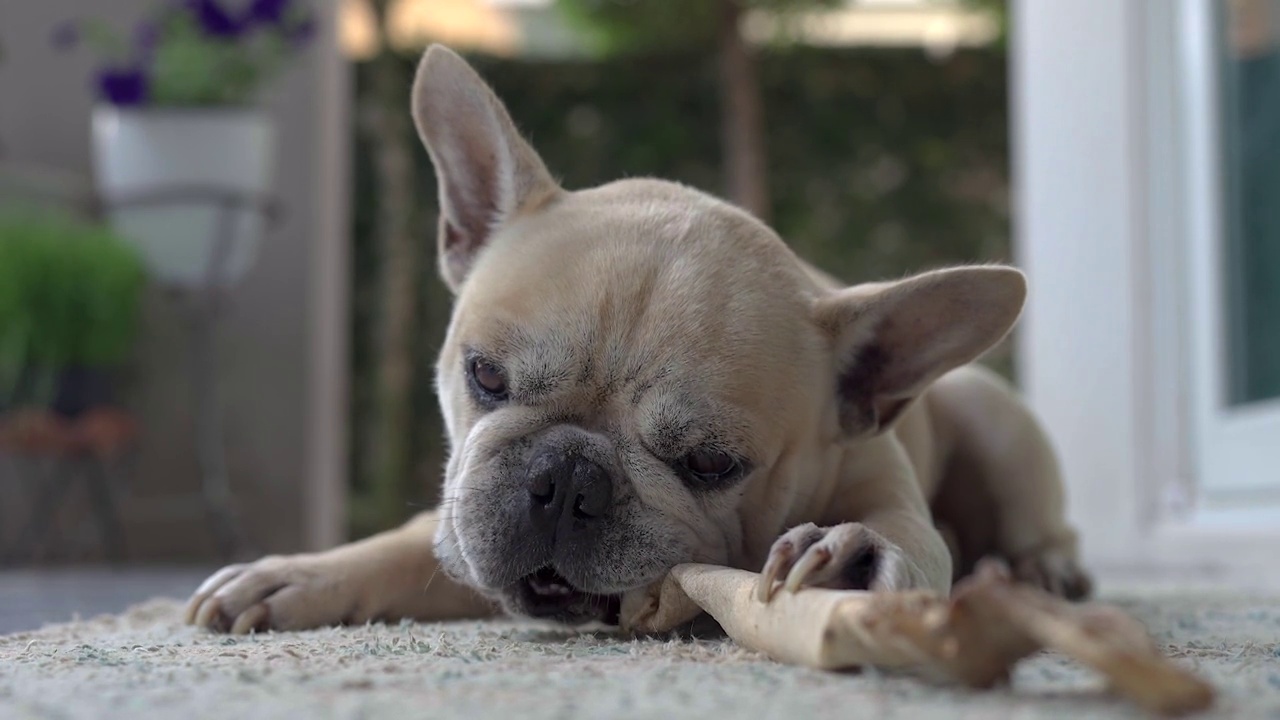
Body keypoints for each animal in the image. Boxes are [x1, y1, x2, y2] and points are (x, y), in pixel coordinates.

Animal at [183, 44, 1090, 630]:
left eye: (712, 463)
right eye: (485, 376)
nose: (566, 478)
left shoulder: (890, 490)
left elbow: (907, 536)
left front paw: (849, 552)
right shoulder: (457, 520)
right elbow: (408, 547)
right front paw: (302, 573)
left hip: (997, 424)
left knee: (1032, 520)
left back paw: (1042, 568)